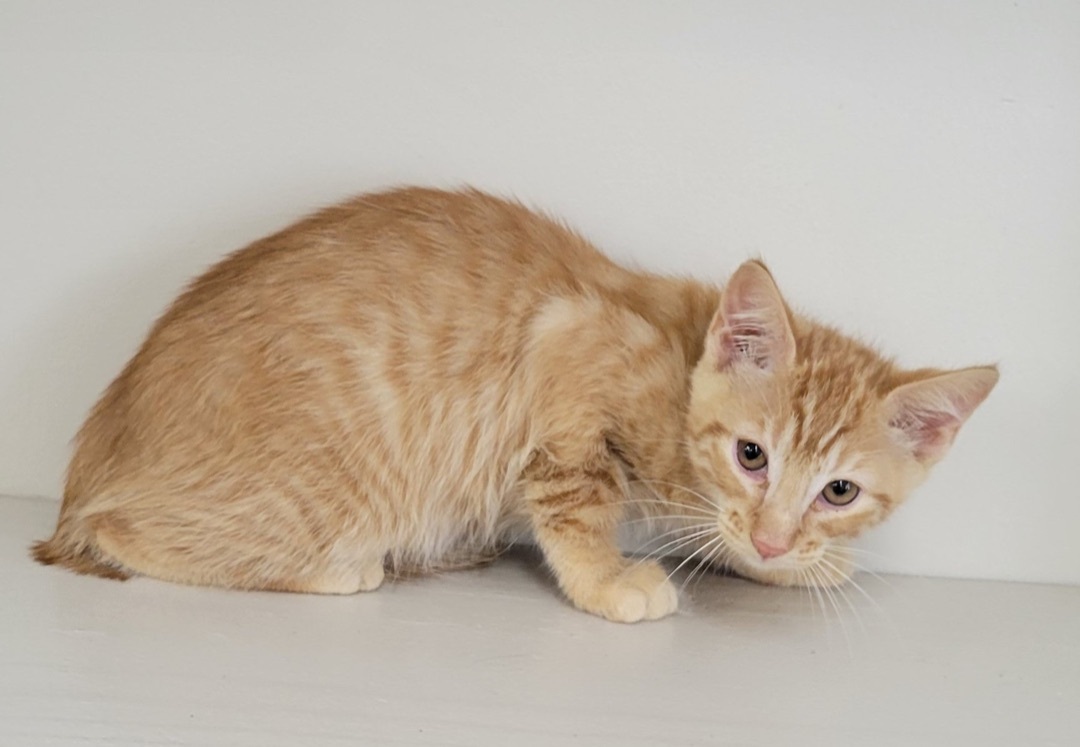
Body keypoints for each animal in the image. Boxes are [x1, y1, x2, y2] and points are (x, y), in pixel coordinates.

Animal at [31, 185, 993, 617]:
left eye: (840, 490)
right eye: (750, 453)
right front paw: (610, 580)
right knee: (130, 533)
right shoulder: (565, 364)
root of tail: (87, 470)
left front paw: (792, 560)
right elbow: (577, 507)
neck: (680, 357)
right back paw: (337, 567)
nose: (774, 537)